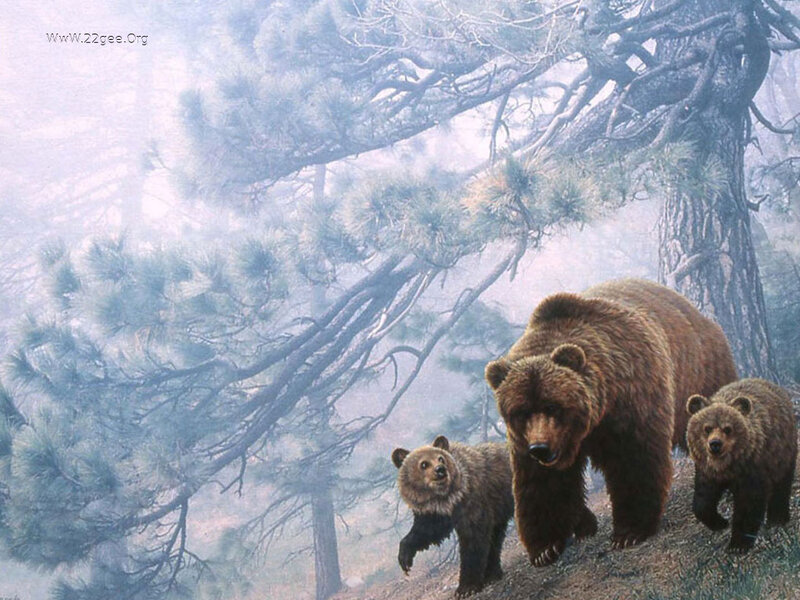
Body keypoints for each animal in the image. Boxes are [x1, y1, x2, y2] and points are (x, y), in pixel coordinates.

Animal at [391, 435, 514, 597]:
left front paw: (466, 587)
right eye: (424, 464)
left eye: (441, 458)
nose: (440, 470)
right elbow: (426, 531)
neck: (448, 499)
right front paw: (405, 558)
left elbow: (473, 542)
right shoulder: (435, 514)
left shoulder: (473, 503)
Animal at [485, 278, 737, 567]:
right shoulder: (524, 440)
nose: (541, 449)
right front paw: (545, 548)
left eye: (552, 406)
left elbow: (633, 460)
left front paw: (629, 532)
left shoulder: (630, 398)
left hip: (698, 371)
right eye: (521, 411)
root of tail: (695, 311)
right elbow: (541, 482)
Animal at [686, 378, 797, 552]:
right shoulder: (707, 471)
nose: (715, 444)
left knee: (781, 484)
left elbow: (748, 503)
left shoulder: (752, 468)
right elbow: (703, 500)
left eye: (727, 429)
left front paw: (737, 544)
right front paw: (721, 522)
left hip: (782, 452)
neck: (727, 466)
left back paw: (777, 519)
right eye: (707, 428)